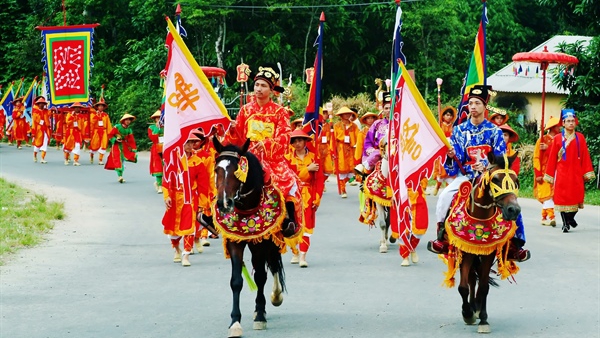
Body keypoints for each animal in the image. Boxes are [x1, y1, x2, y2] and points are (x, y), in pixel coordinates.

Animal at [213, 138, 290, 338]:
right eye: (216, 170)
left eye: (236, 171)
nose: (224, 203)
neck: (247, 209)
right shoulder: (235, 242)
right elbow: (236, 281)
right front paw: (235, 322)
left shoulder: (261, 242)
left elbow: (261, 277)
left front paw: (261, 316)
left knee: (272, 265)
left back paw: (274, 296)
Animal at [446, 152, 520, 332]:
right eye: (496, 179)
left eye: (515, 180)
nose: (514, 210)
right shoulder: (465, 251)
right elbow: (463, 286)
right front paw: (467, 313)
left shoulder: (489, 253)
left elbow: (484, 287)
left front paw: (483, 318)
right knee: (472, 279)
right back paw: (472, 307)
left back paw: (478, 307)